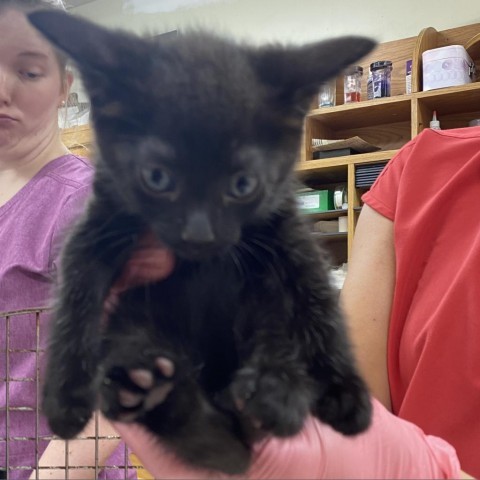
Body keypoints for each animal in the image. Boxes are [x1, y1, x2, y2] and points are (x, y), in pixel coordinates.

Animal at [29, 12, 376, 476]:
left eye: (242, 184)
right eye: (157, 178)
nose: (199, 235)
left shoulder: (284, 229)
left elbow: (317, 300)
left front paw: (345, 391)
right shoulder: (100, 221)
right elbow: (75, 294)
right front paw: (65, 396)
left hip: (260, 306)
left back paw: (274, 393)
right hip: (134, 321)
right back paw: (149, 389)